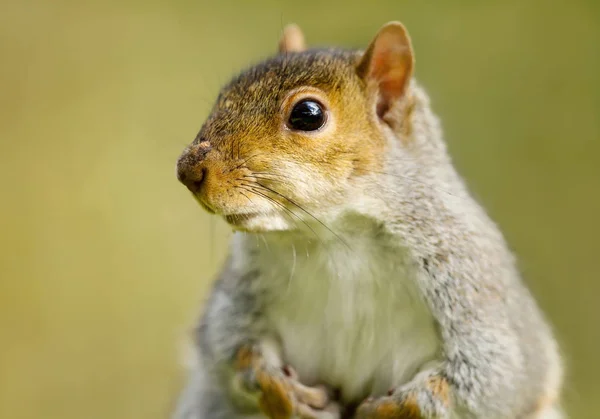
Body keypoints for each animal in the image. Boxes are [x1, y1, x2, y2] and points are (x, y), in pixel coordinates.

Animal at [172, 22, 564, 419]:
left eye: (308, 114)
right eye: (225, 93)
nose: (188, 169)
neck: (336, 237)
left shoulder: (475, 294)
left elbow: (493, 382)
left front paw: (391, 407)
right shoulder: (237, 298)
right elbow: (231, 350)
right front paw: (283, 390)